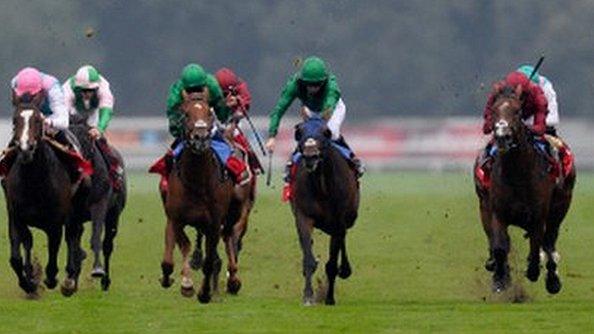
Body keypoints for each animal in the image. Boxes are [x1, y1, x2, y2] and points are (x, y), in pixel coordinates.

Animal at [68, 113, 126, 290]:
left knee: (108, 244)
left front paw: (98, 270)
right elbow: (72, 241)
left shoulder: (99, 204)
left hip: (114, 214)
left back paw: (105, 280)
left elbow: (96, 237)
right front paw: (72, 277)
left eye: (87, 139)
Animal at [158, 95, 232, 304]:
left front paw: (204, 293)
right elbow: (175, 255)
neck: (198, 181)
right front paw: (184, 284)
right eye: (185, 113)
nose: (200, 138)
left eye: (209, 113)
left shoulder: (214, 224)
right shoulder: (175, 219)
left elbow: (208, 261)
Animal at [290, 115, 358, 306]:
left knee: (342, 238)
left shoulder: (338, 220)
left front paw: (329, 298)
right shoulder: (303, 216)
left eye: (326, 132)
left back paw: (345, 269)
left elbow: (332, 263)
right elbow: (308, 257)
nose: (310, 155)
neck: (322, 188)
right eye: (299, 132)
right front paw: (308, 295)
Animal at [472, 85, 572, 294]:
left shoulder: (538, 216)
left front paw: (534, 271)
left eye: (518, 111)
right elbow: (500, 247)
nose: (502, 136)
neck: (517, 174)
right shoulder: (498, 212)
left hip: (560, 208)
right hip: (484, 206)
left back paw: (552, 279)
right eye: (494, 110)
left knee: (549, 241)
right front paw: (500, 280)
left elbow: (536, 247)